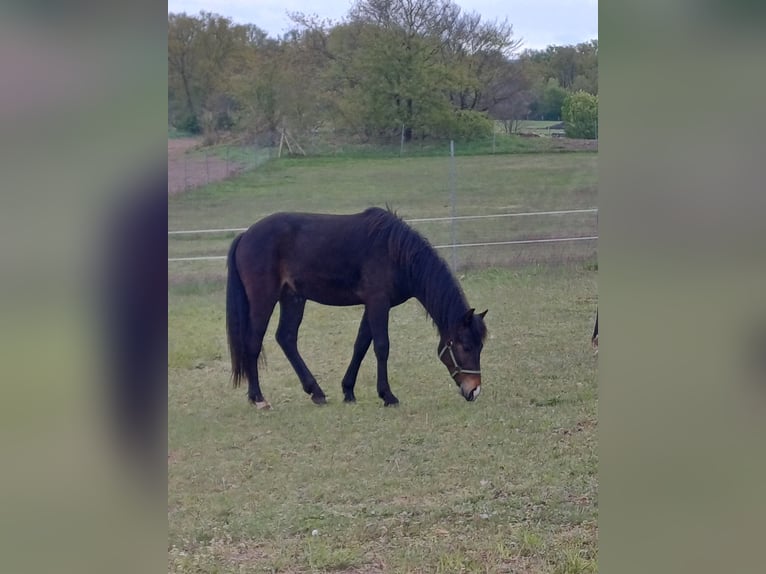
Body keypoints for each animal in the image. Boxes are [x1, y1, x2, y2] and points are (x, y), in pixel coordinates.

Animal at [225, 207, 488, 409]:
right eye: (465, 347)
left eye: (480, 347)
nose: (474, 391)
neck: (395, 252)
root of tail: (245, 236)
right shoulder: (378, 303)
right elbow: (381, 347)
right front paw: (388, 396)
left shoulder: (373, 305)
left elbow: (361, 345)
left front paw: (348, 391)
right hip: (264, 299)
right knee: (253, 343)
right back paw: (258, 398)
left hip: (293, 298)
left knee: (286, 338)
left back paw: (316, 392)